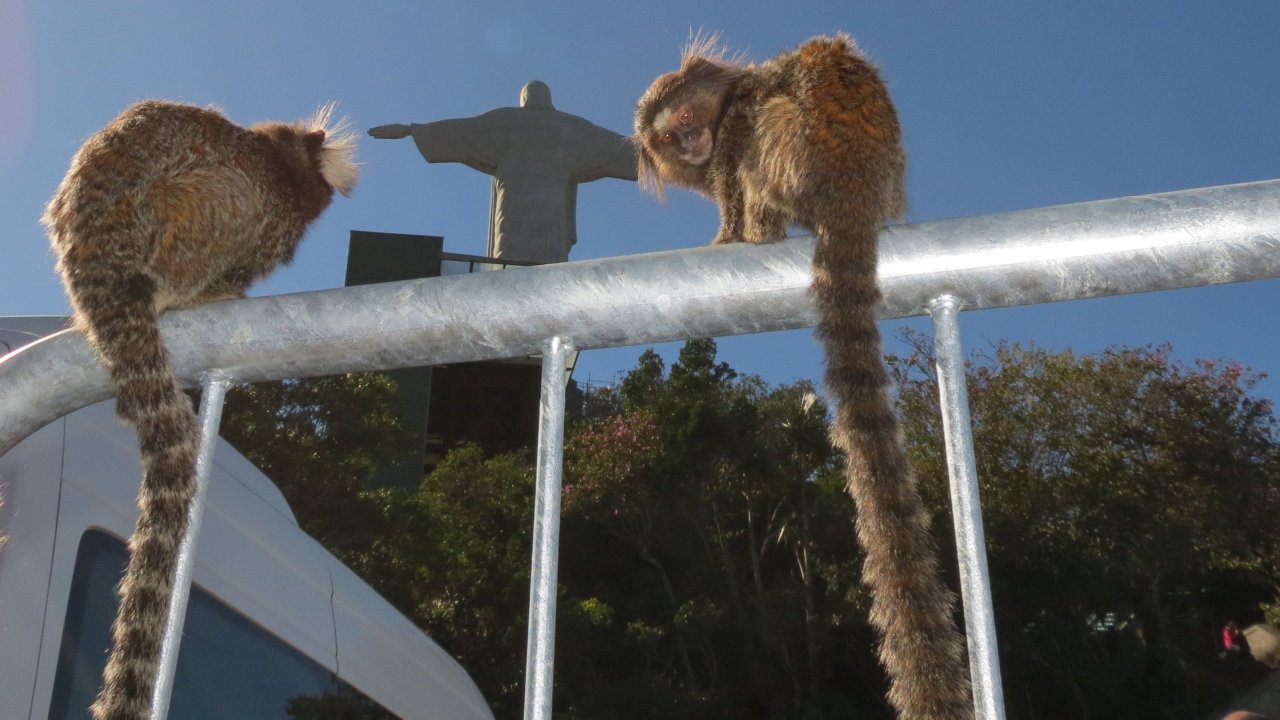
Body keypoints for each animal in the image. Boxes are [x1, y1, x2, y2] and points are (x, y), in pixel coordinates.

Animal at [635, 35, 972, 718]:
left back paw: (762, 228)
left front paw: (731, 234)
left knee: (766, 133)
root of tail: (854, 183)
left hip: (793, 152)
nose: (690, 143)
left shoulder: (731, 128)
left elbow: (735, 161)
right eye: (672, 134)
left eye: (688, 119)